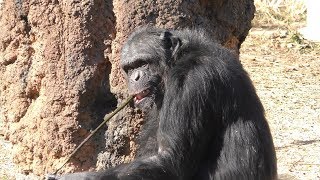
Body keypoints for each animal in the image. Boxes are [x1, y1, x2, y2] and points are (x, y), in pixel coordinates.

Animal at [56, 27, 276, 180]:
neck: (176, 62)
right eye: (129, 68)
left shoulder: (191, 82)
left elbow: (169, 160)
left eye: (142, 63)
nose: (134, 77)